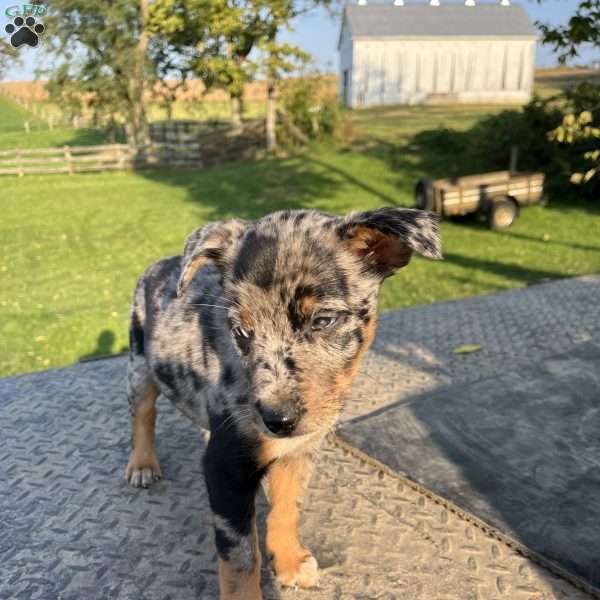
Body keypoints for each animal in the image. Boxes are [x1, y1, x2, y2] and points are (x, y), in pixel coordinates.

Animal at [124, 207, 440, 600]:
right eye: (241, 331)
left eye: (323, 320)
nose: (278, 420)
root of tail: (160, 264)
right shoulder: (225, 469)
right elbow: (241, 558)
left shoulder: (297, 452)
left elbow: (287, 508)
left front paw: (289, 561)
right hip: (139, 363)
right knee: (143, 413)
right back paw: (142, 463)